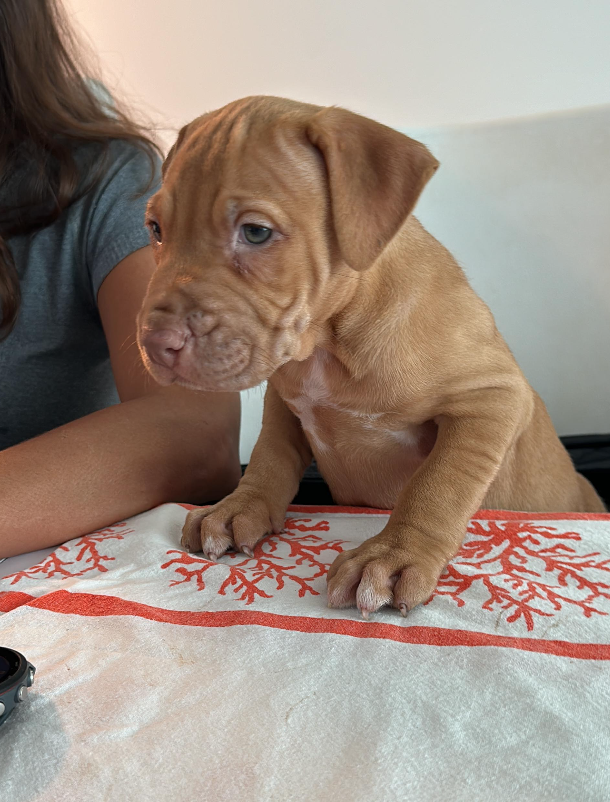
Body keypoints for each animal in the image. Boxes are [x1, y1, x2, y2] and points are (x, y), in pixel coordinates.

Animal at [138, 95, 604, 620]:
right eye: (156, 229)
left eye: (255, 233)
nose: (154, 343)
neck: (326, 341)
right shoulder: (284, 398)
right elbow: (269, 455)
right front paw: (240, 505)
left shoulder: (492, 397)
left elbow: (439, 483)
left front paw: (395, 553)